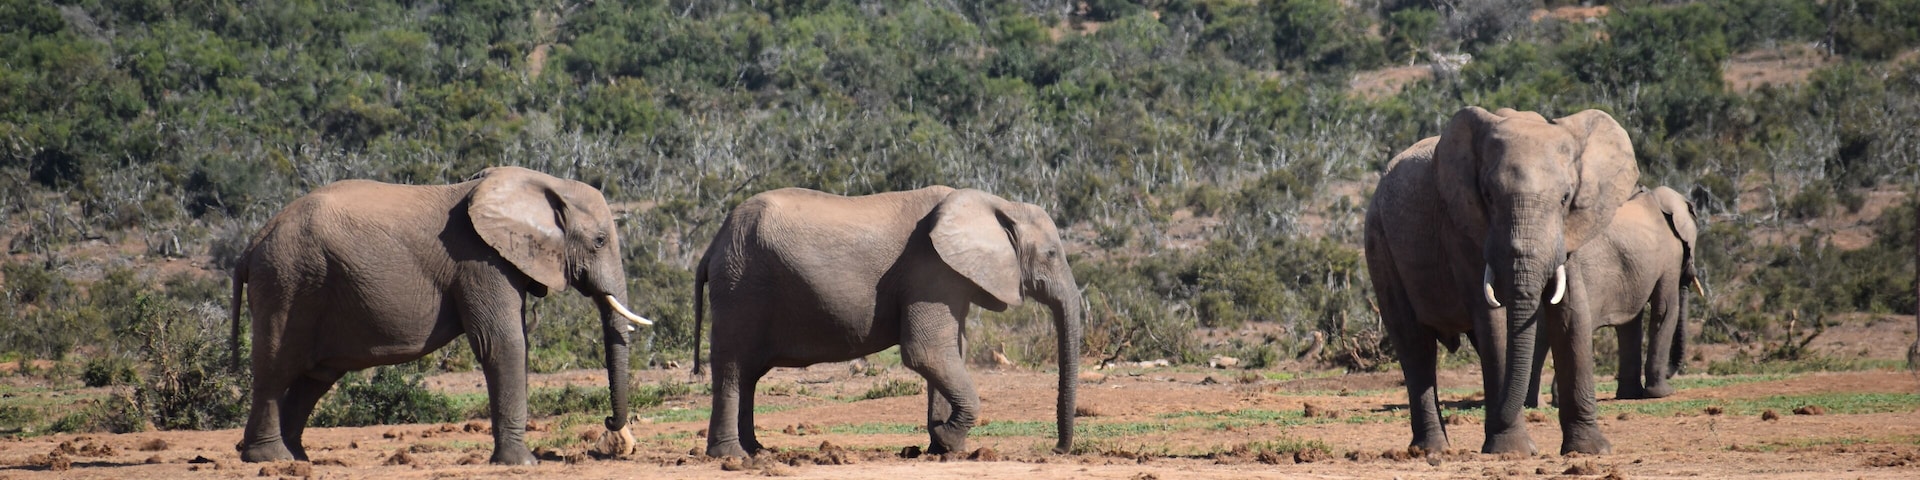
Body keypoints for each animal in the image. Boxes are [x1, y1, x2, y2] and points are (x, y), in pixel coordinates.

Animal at [228, 166, 651, 465]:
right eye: (599, 241)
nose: (612, 431)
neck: (543, 183)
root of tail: (250, 245)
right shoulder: (480, 260)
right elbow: (502, 343)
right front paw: (521, 463)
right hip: (288, 280)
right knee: (276, 368)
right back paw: (271, 458)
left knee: (316, 376)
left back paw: (297, 458)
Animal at [689, 186, 1082, 458]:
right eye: (1051, 254)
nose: (1057, 450)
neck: (997, 204)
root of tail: (713, 246)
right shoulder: (932, 270)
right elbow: (927, 352)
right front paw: (947, 438)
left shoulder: (949, 277)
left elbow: (951, 350)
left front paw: (942, 449)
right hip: (741, 286)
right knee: (733, 367)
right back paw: (734, 456)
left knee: (747, 373)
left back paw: (757, 450)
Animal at [1365, 107, 1640, 455]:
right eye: (1488, 197)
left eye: (1565, 198)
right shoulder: (1461, 226)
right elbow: (1493, 322)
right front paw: (1512, 451)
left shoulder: (1571, 232)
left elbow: (1572, 313)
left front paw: (1589, 451)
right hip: (1380, 243)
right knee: (1414, 343)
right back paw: (1432, 451)